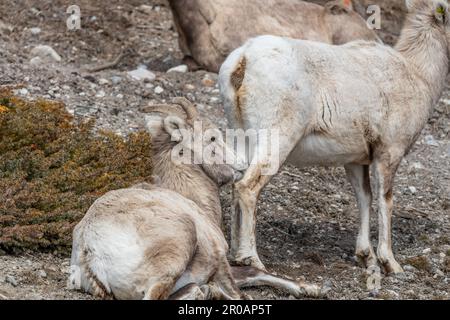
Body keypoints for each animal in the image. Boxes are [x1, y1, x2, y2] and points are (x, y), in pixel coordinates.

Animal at [68, 98, 322, 300]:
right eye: (212, 138)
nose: (242, 165)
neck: (193, 199)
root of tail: (90, 251)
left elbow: (254, 273)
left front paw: (310, 289)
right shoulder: (219, 257)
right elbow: (241, 290)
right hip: (181, 243)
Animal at [219, 0, 450, 274]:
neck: (418, 75)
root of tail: (244, 58)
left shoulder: (356, 160)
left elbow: (364, 198)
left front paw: (366, 257)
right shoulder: (388, 153)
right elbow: (386, 201)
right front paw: (391, 264)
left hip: (241, 138)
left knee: (236, 184)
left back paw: (235, 255)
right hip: (276, 140)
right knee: (247, 188)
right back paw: (252, 259)